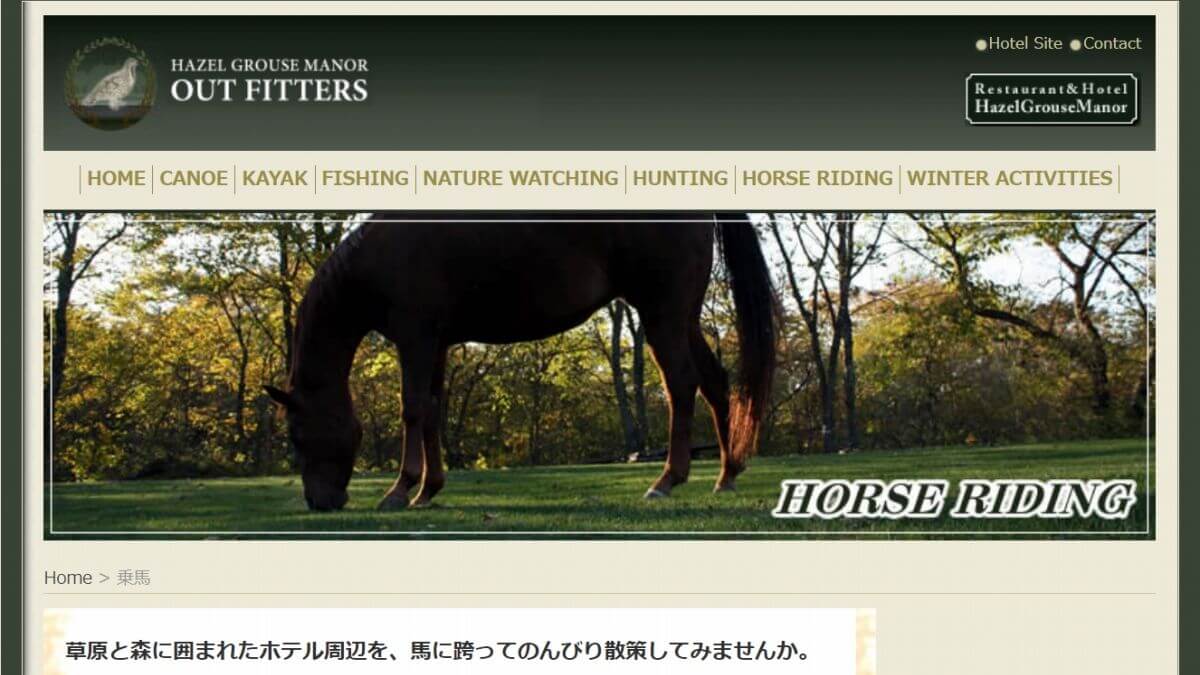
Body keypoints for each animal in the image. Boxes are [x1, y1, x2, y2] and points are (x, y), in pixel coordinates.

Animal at [265, 212, 777, 511]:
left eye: (297, 435)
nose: (320, 503)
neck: (381, 252)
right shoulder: (437, 343)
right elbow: (430, 412)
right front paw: (428, 490)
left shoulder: (416, 337)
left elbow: (411, 409)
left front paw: (399, 490)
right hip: (681, 316)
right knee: (715, 382)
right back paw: (726, 476)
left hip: (661, 313)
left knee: (682, 385)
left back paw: (667, 480)